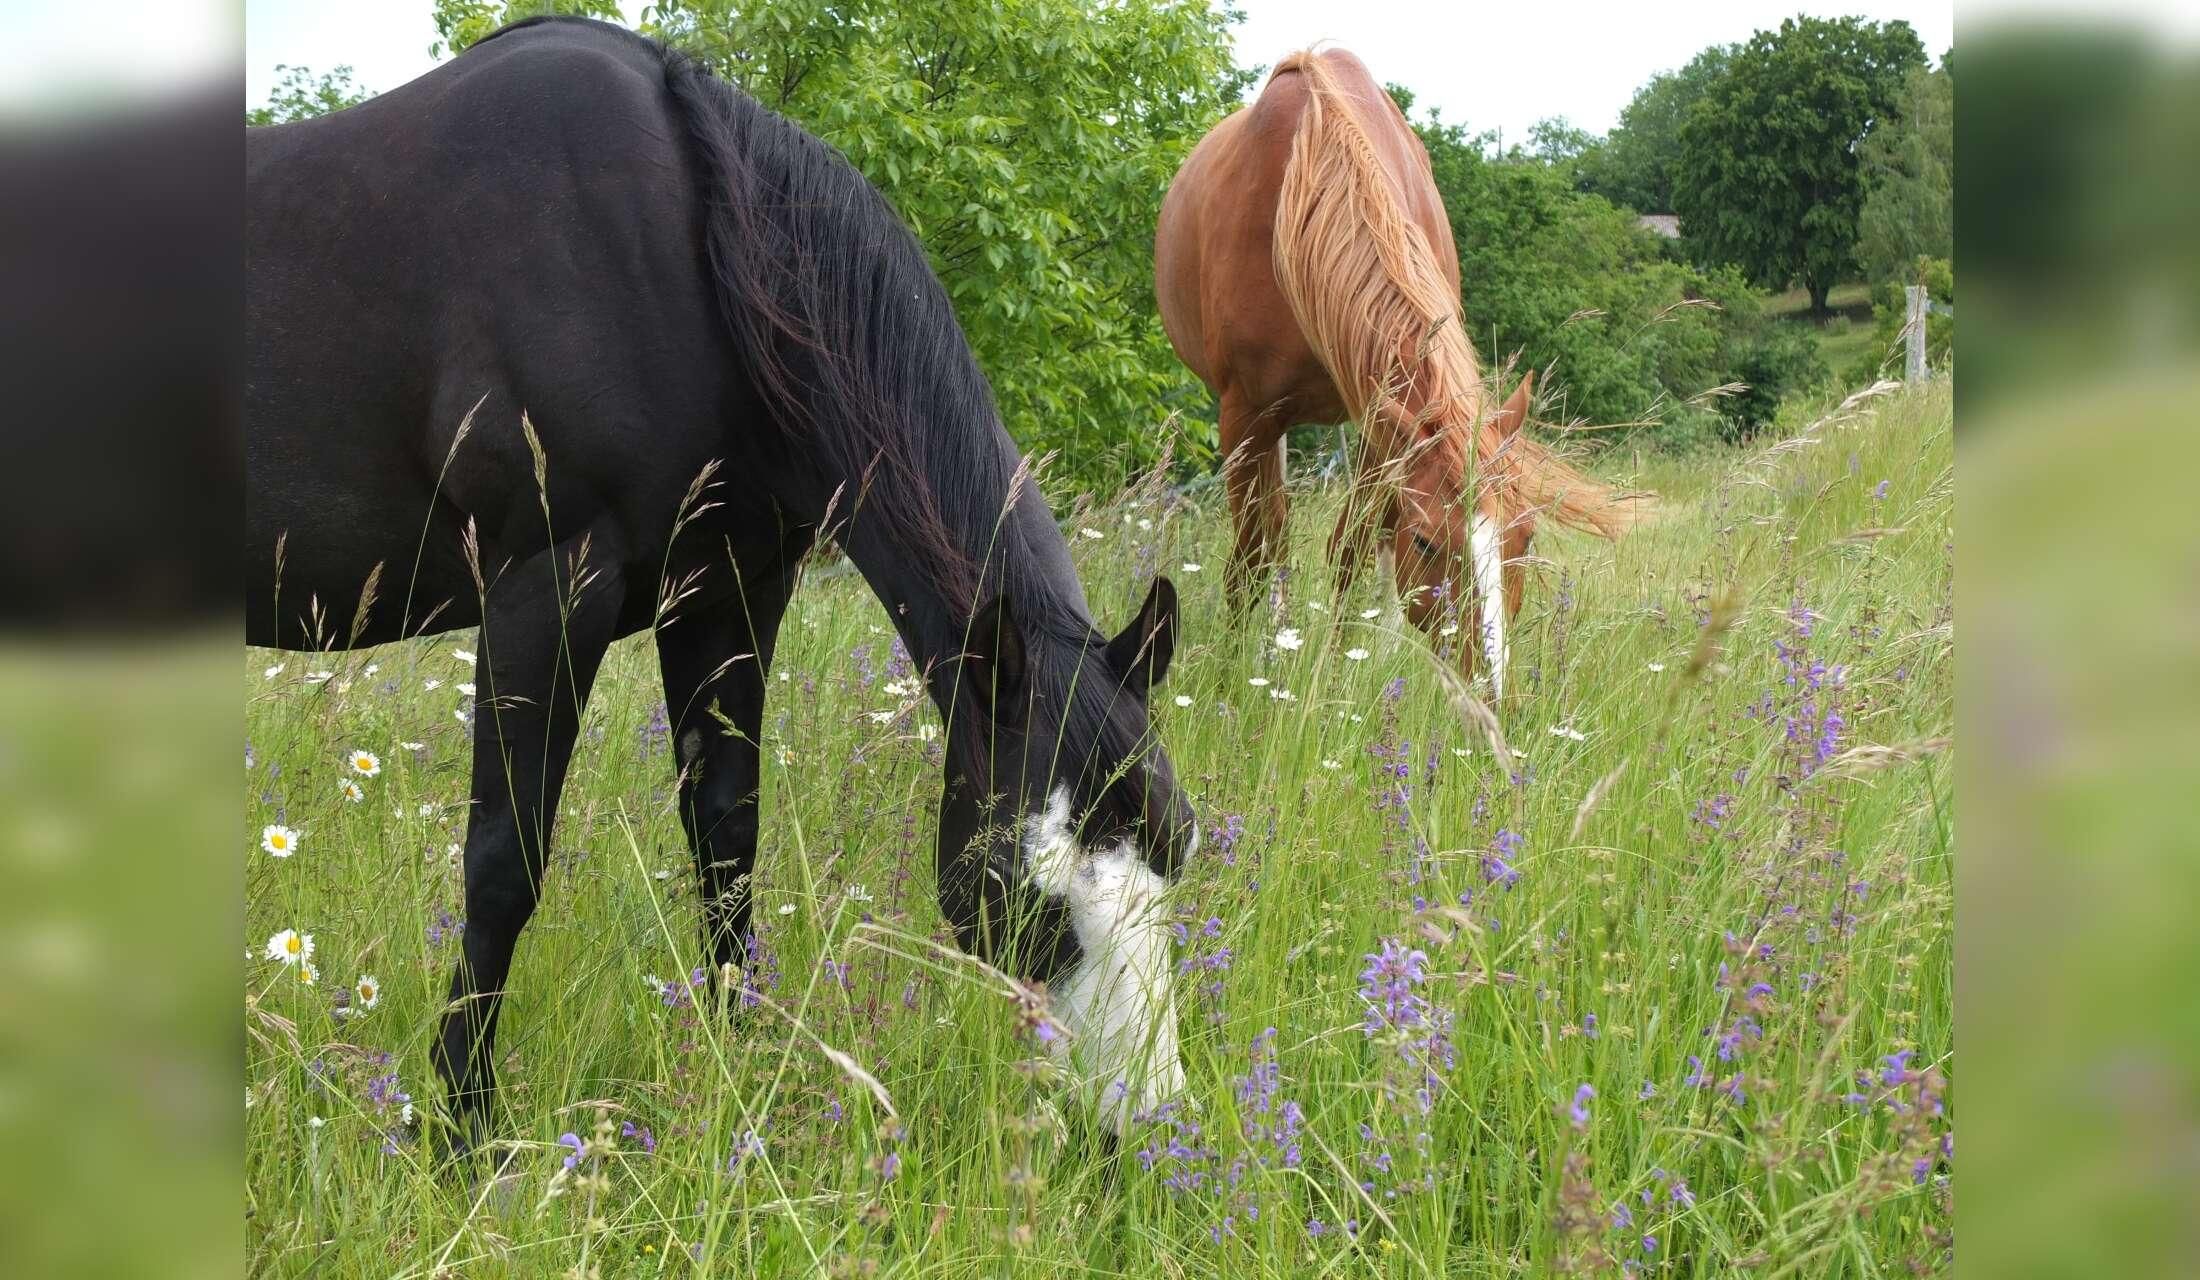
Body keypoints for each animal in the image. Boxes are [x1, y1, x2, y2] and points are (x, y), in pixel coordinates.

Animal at [246, 15, 1194, 1150]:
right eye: (1026, 895)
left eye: (1178, 846)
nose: (1147, 1130)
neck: (691, 242)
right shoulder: (543, 588)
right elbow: (501, 865)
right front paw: (460, 1128)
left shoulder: (730, 597)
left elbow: (726, 847)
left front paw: (737, 1077)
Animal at [1155, 48, 1634, 695]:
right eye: (1428, 542)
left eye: (1526, 536)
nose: (1490, 692)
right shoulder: (1246, 416)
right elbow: (1253, 557)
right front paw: (1240, 674)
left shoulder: (1382, 425)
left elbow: (1352, 553)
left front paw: (1340, 673)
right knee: (1273, 537)